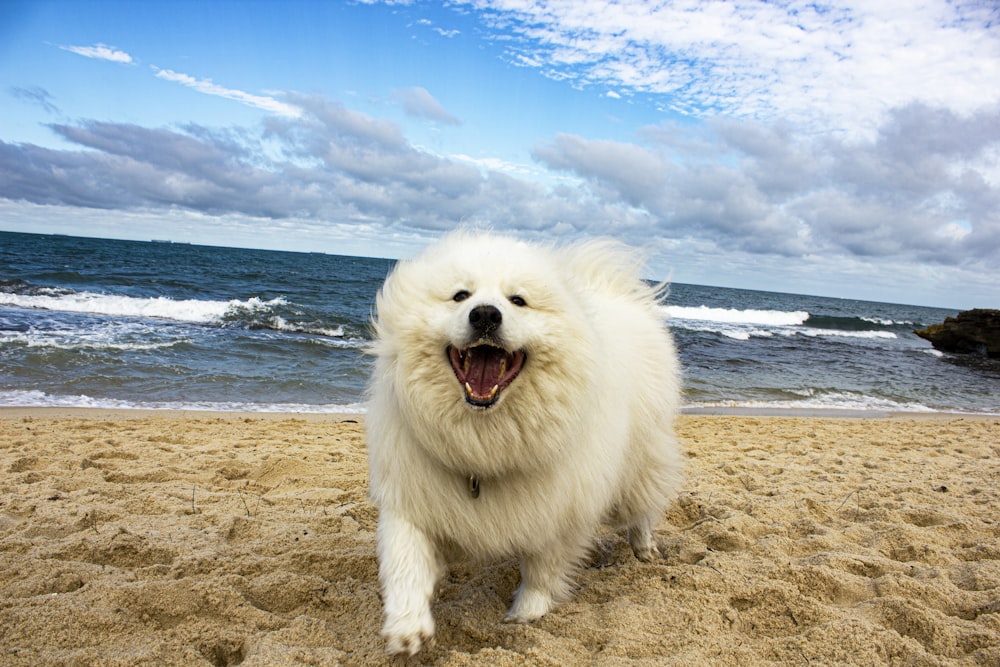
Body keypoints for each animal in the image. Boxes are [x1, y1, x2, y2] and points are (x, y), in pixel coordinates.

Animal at [368, 232, 688, 656]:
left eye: (518, 300)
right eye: (460, 295)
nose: (485, 314)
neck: (485, 440)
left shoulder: (563, 507)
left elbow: (543, 566)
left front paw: (527, 611)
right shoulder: (413, 496)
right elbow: (406, 559)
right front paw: (407, 626)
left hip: (639, 461)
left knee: (643, 507)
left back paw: (644, 547)